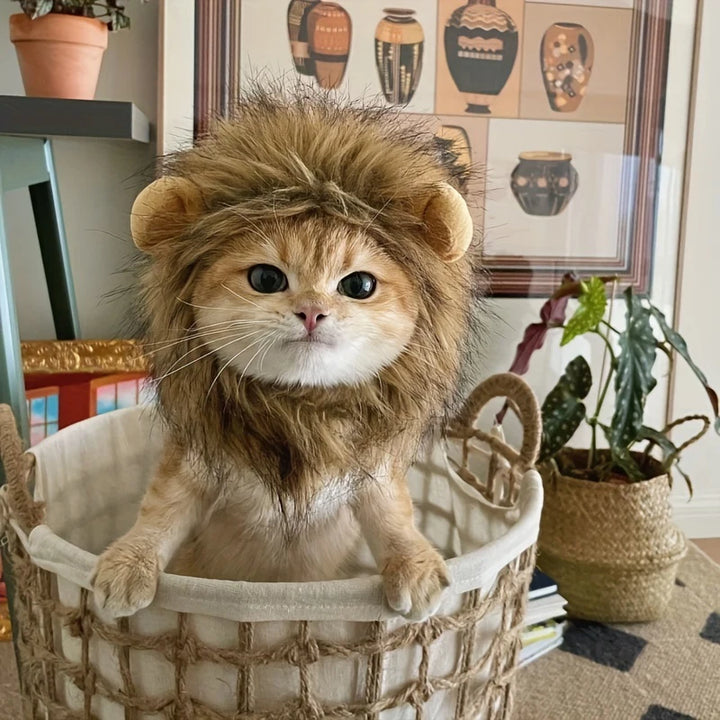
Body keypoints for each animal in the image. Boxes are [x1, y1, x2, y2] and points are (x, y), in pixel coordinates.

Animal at [91, 88, 478, 620]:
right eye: (266, 279)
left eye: (359, 285)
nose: (312, 312)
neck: (298, 414)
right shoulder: (192, 468)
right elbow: (159, 514)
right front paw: (129, 562)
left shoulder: (371, 477)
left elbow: (396, 519)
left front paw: (415, 566)